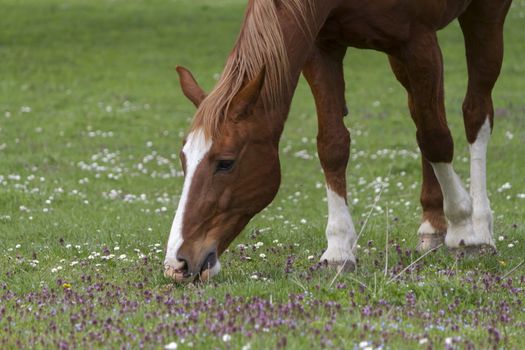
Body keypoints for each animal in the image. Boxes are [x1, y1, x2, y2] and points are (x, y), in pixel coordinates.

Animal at [164, 0, 512, 280]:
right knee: (420, 111)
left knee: (473, 113)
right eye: (184, 160)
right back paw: (432, 224)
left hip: (485, 15)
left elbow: (436, 136)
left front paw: (463, 229)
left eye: (226, 163)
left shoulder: (418, 40)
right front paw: (339, 249)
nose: (177, 264)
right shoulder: (322, 47)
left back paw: (480, 226)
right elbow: (332, 145)